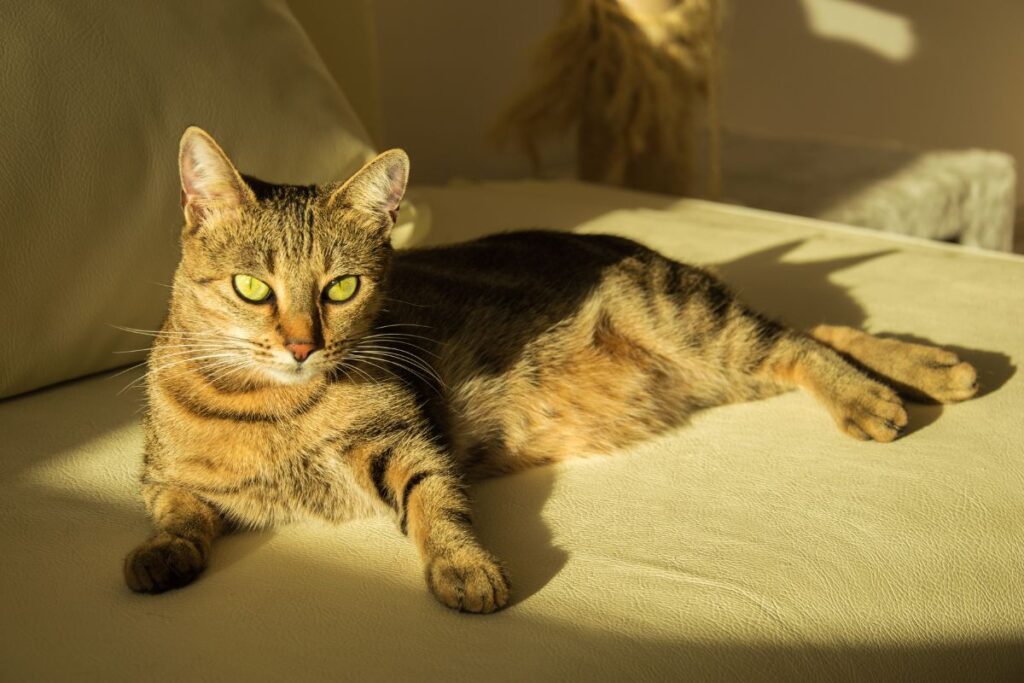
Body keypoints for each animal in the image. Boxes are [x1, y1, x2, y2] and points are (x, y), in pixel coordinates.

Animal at [123, 127, 978, 614]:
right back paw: (934, 366)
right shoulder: (163, 476)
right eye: (252, 287)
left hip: (696, 328)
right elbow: (179, 512)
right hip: (716, 360)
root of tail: (644, 249)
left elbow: (437, 504)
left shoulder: (406, 439)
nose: (302, 346)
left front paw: (464, 568)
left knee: (800, 338)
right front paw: (160, 554)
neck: (270, 407)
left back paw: (884, 391)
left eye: (340, 288)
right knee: (819, 326)